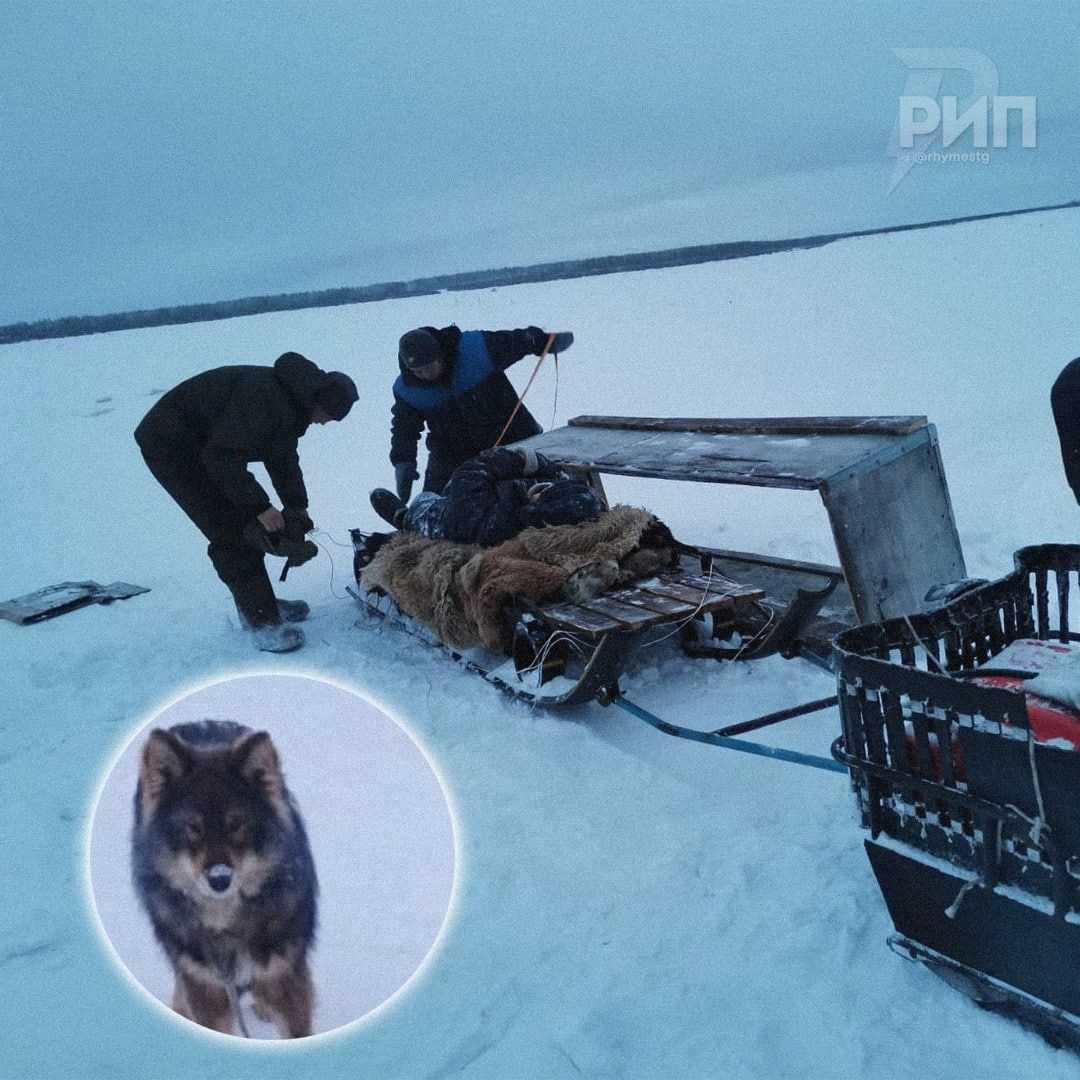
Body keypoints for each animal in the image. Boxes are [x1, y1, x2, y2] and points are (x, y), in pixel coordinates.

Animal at [130, 721, 315, 1032]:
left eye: (236, 825)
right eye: (194, 827)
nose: (219, 879)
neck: (225, 921)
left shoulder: (286, 977)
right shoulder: (205, 988)